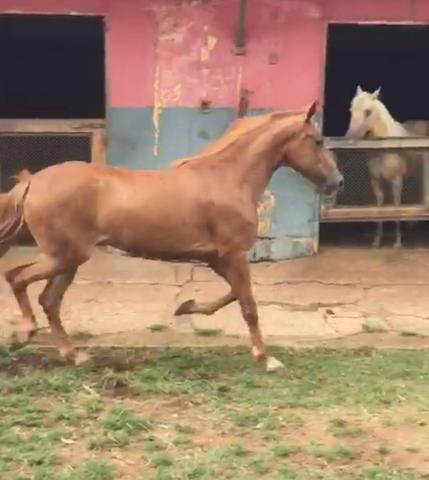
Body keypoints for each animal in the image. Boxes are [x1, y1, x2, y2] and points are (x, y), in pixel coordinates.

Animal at [0, 101, 342, 372]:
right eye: (318, 141)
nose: (337, 182)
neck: (228, 179)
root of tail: (32, 182)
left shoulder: (218, 257)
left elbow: (234, 295)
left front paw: (186, 307)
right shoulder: (233, 254)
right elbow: (248, 304)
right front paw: (266, 358)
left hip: (69, 259)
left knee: (49, 300)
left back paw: (73, 355)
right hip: (63, 256)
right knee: (17, 278)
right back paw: (25, 334)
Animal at [344, 86, 408, 249]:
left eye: (368, 111)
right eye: (351, 109)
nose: (348, 139)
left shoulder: (397, 181)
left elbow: (397, 208)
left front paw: (398, 242)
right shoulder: (376, 181)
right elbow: (379, 209)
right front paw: (377, 241)